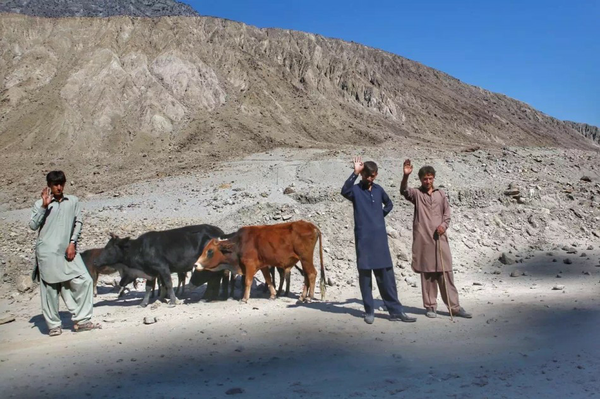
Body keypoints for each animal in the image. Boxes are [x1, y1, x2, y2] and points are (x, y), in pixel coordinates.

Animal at [95, 223, 226, 308]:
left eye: (109, 249)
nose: (96, 262)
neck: (140, 249)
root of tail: (219, 231)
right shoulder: (151, 272)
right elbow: (148, 287)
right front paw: (143, 303)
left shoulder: (162, 268)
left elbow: (168, 283)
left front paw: (172, 302)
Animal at [195, 222, 326, 304]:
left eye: (210, 251)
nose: (196, 265)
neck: (239, 244)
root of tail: (312, 226)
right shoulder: (263, 266)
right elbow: (268, 279)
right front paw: (273, 295)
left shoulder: (250, 265)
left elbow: (247, 281)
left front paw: (244, 298)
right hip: (304, 260)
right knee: (306, 276)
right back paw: (302, 297)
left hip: (305, 258)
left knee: (312, 274)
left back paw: (309, 297)